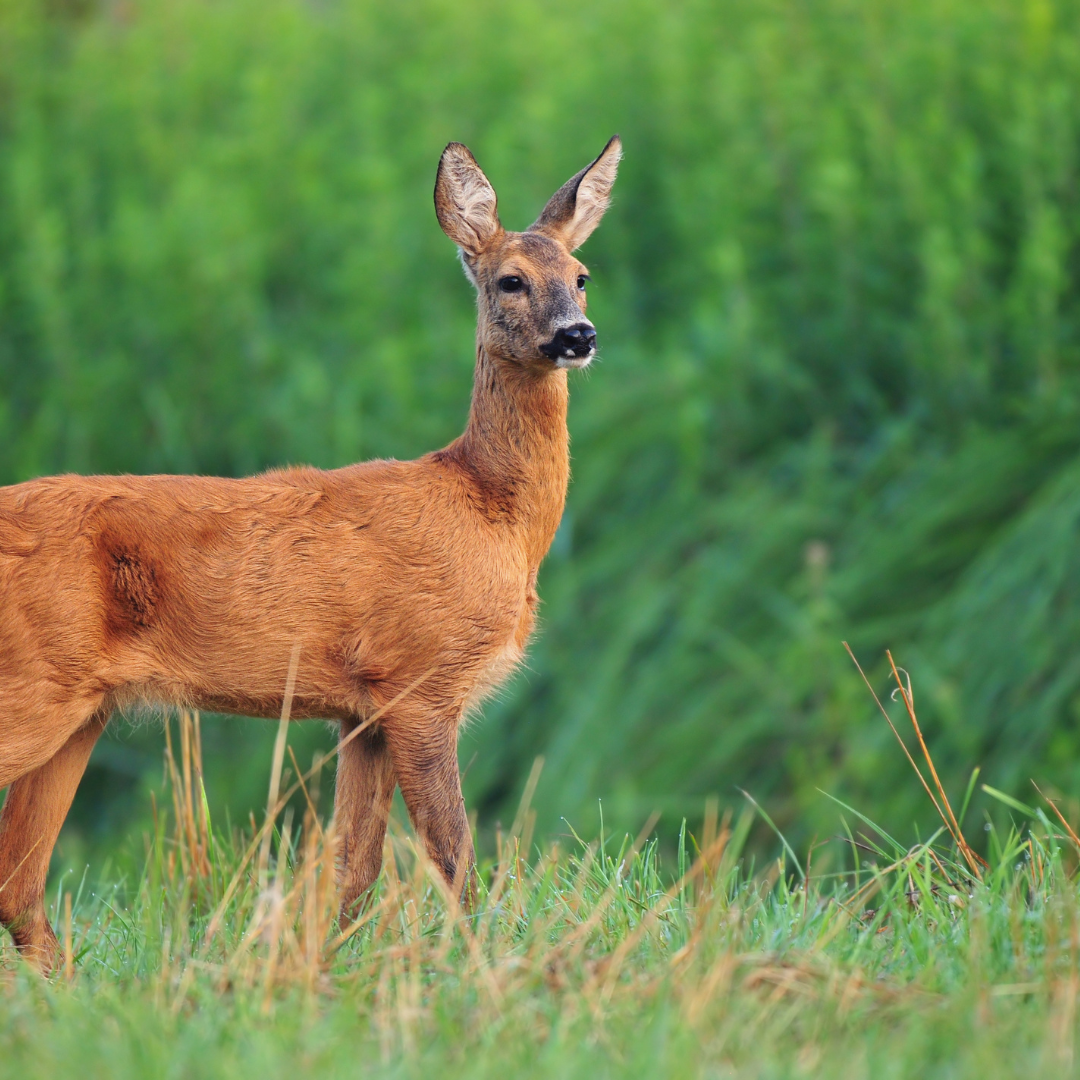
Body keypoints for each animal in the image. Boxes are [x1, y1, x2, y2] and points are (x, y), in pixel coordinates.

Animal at [0, 132, 626, 972]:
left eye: (582, 277)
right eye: (511, 280)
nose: (576, 336)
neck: (490, 512)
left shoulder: (361, 711)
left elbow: (354, 869)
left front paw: (331, 975)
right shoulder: (420, 681)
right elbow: (454, 856)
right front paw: (487, 972)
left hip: (80, 710)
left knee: (21, 887)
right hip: (35, 683)